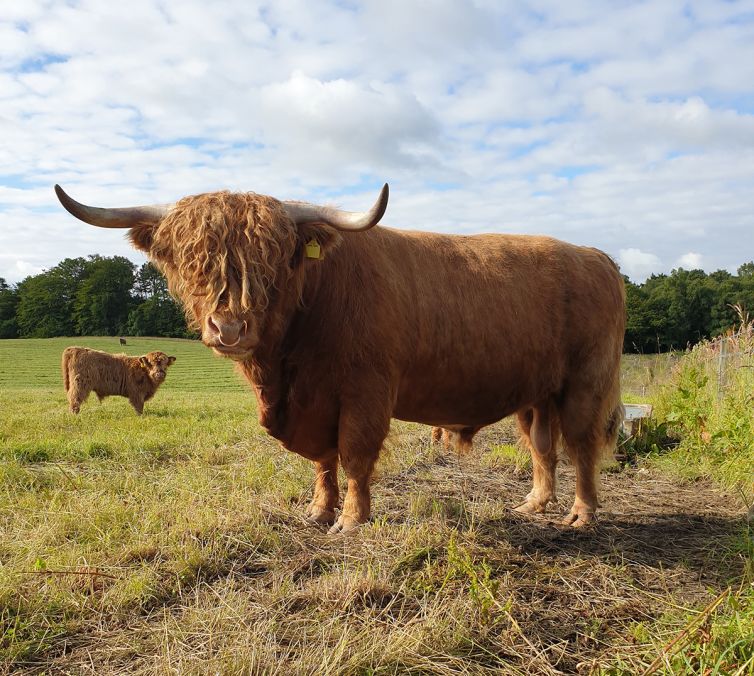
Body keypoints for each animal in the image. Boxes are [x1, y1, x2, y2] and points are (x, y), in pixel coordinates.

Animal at [55, 182, 624, 532]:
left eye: (274, 261)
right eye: (193, 261)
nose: (229, 328)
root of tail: (596, 256)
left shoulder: (365, 392)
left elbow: (353, 454)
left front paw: (351, 520)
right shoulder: (314, 404)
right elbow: (323, 461)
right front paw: (318, 510)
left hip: (586, 381)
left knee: (581, 445)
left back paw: (581, 514)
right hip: (537, 392)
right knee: (542, 445)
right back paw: (534, 503)